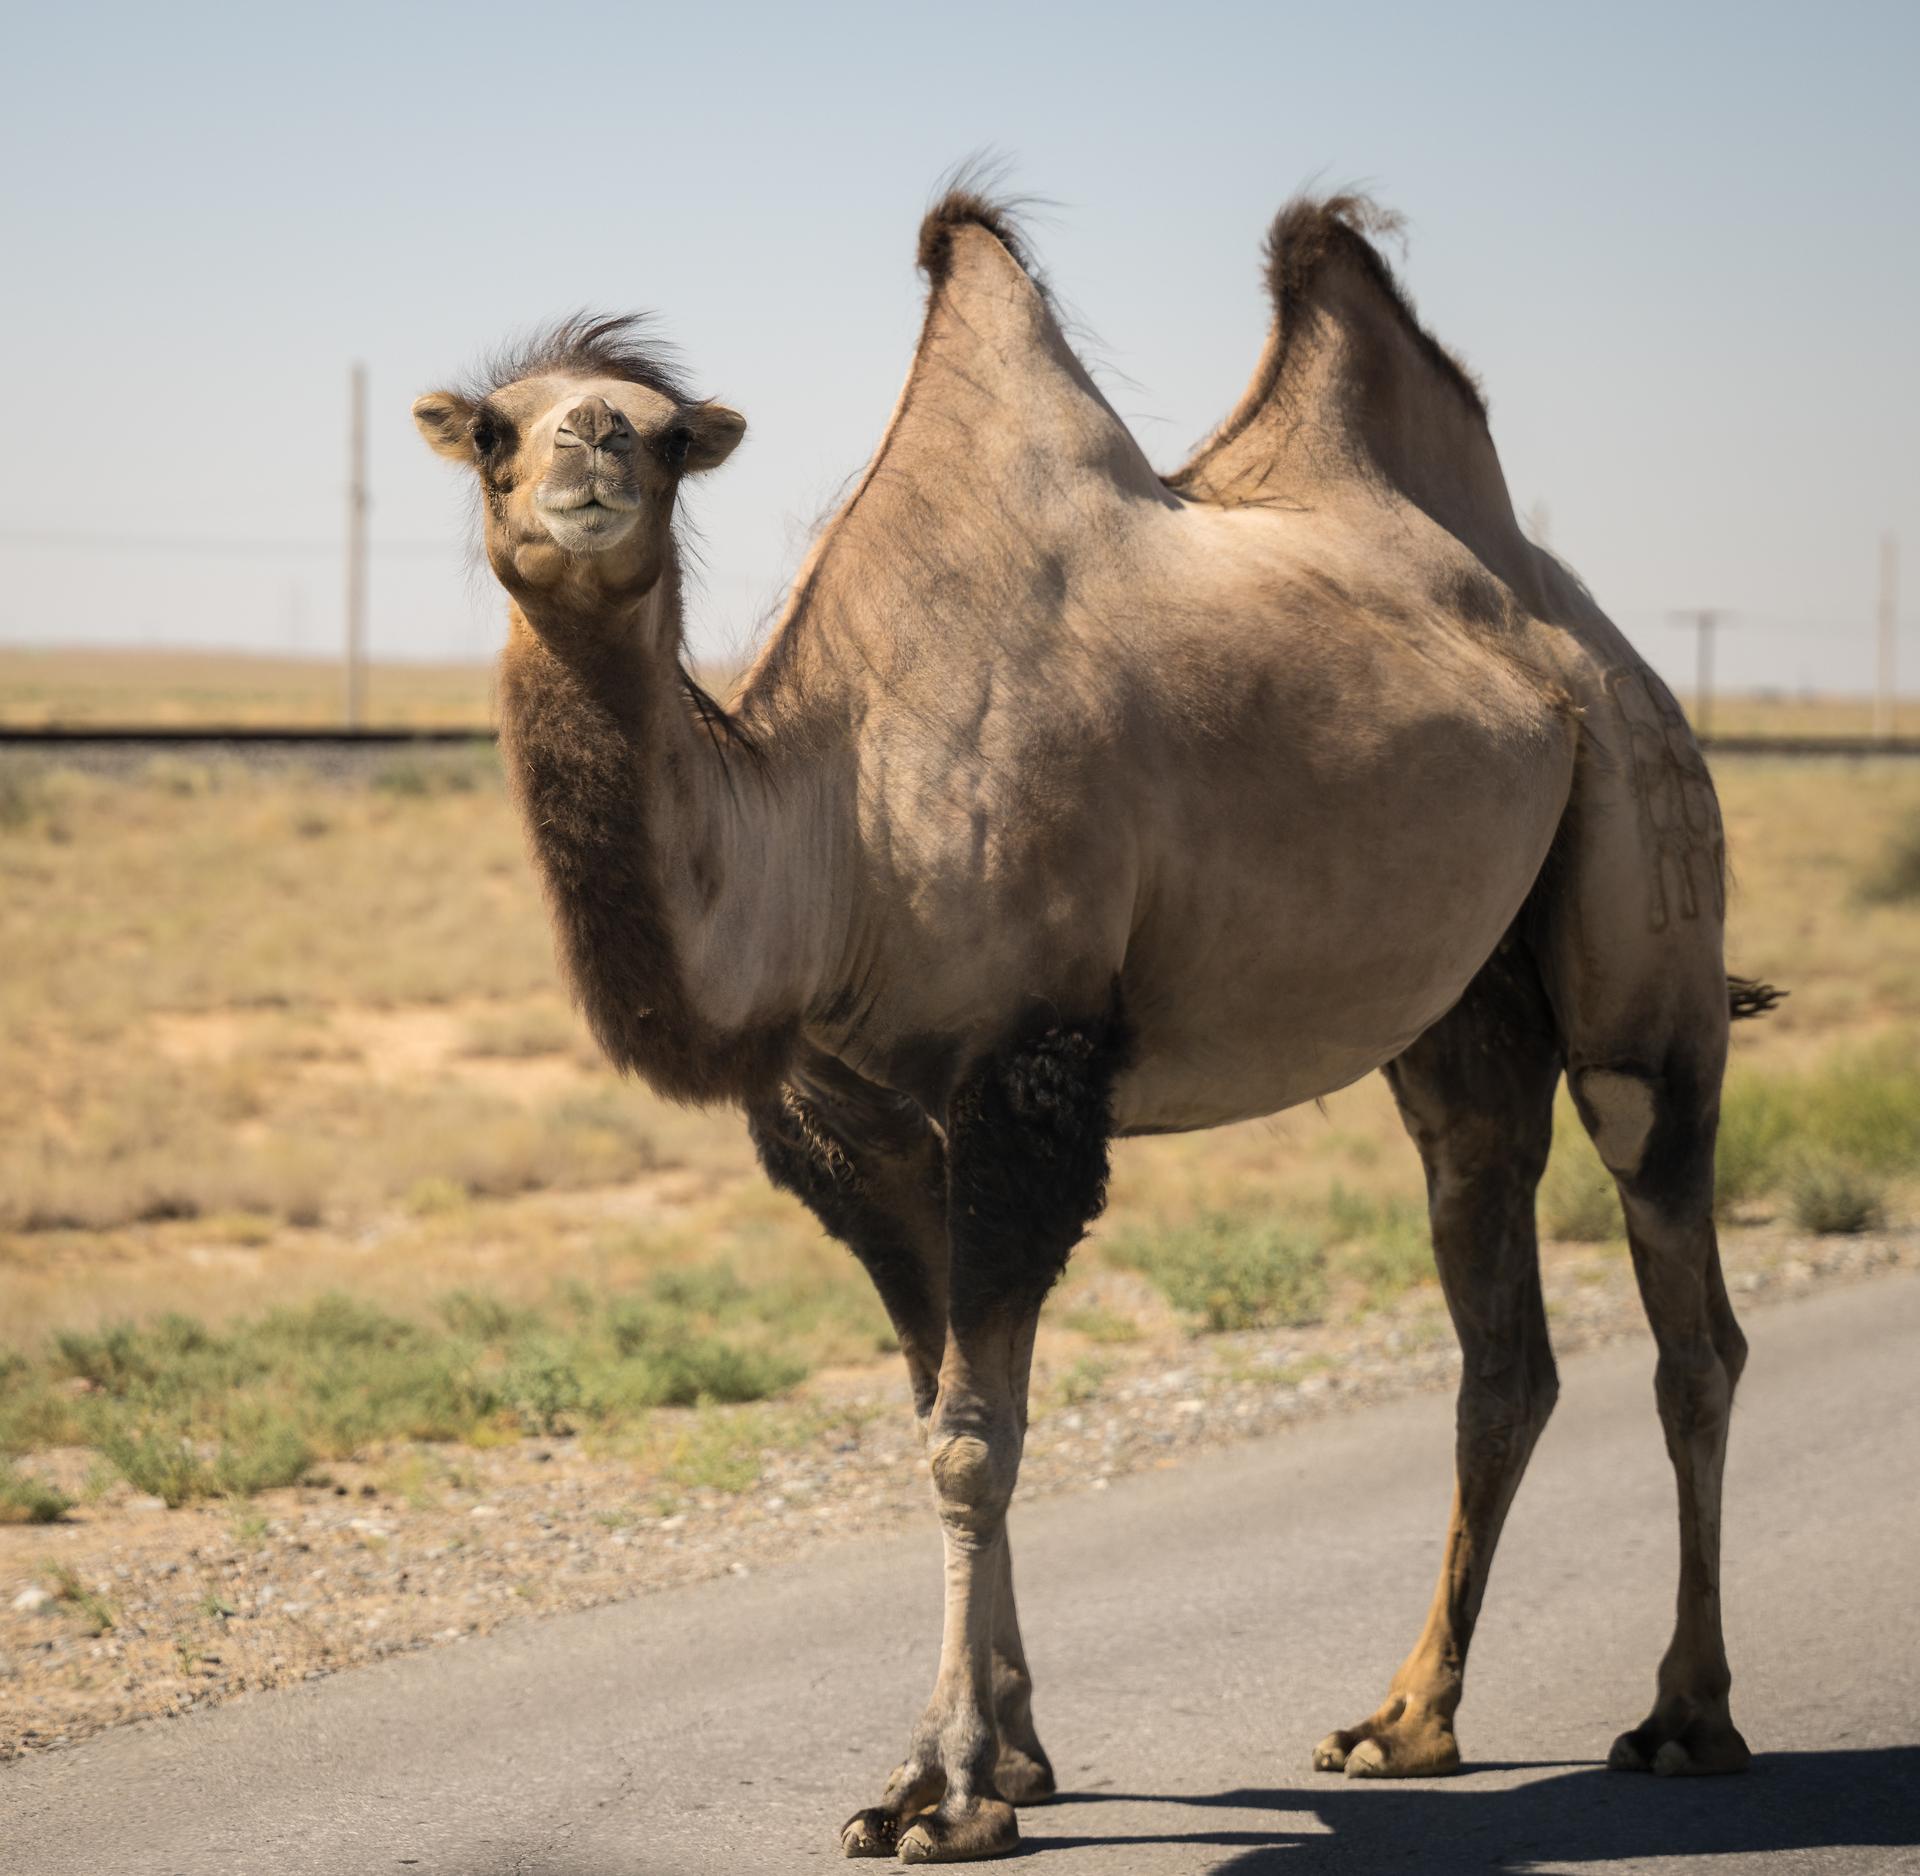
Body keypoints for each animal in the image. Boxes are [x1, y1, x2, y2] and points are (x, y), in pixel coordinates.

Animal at [413, 187, 1774, 1864]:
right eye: (493, 429)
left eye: (670, 439)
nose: (591, 448)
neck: (835, 833)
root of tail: (1607, 651)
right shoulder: (857, 1132)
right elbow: (947, 1410)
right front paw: (1010, 1755)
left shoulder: (1027, 1083)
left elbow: (968, 1436)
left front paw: (939, 1790)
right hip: (1466, 1007)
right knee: (1501, 1332)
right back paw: (1404, 1722)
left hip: (1648, 875)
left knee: (1689, 1316)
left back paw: (1686, 1718)